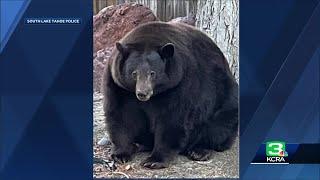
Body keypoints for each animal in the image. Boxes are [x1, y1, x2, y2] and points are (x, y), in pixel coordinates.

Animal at [102, 21, 238, 169]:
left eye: (152, 73)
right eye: (134, 73)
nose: (142, 93)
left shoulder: (181, 82)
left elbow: (172, 118)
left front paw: (154, 160)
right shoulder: (119, 85)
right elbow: (121, 114)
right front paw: (120, 154)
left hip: (224, 97)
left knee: (219, 125)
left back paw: (199, 150)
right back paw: (139, 144)